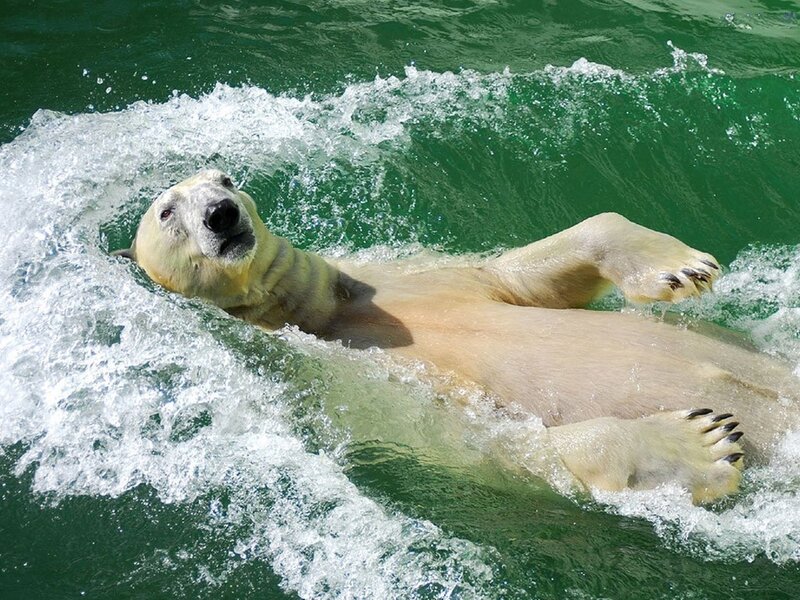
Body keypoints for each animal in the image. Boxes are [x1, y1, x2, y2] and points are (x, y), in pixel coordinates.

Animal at [114, 169, 800, 503]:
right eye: (167, 212)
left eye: (226, 180)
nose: (220, 214)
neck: (323, 313)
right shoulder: (359, 384)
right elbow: (490, 441)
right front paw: (700, 441)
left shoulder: (413, 279)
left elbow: (524, 275)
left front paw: (680, 266)